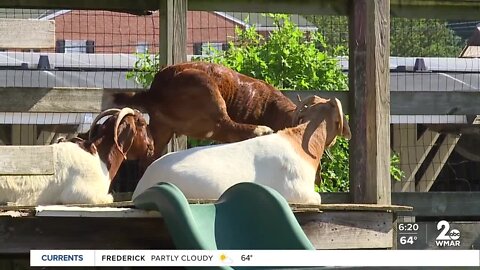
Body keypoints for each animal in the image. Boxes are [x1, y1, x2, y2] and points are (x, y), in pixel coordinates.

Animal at [114, 62, 298, 166]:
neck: (270, 106)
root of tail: (155, 92)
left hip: (162, 128)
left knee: (149, 157)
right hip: (206, 87)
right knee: (226, 126)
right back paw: (261, 130)